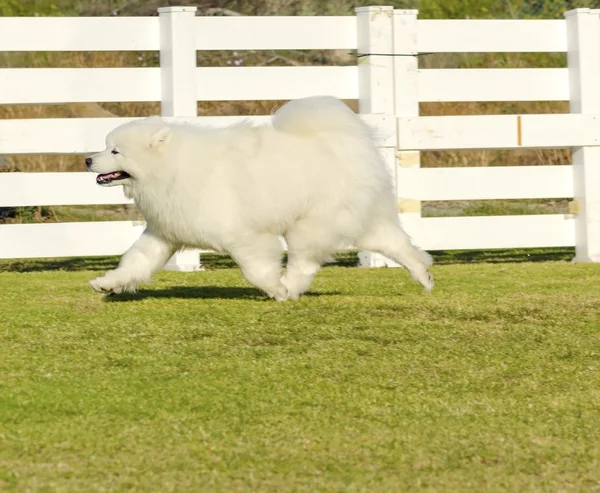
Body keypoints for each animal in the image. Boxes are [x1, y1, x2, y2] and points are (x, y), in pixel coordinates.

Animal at [84, 96, 432, 300]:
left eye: (115, 152)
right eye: (106, 147)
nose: (87, 160)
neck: (171, 168)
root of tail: (342, 140)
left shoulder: (244, 237)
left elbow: (256, 269)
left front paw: (275, 288)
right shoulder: (163, 234)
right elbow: (135, 262)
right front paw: (108, 283)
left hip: (310, 225)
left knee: (304, 263)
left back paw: (290, 288)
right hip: (359, 222)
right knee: (398, 245)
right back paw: (424, 275)